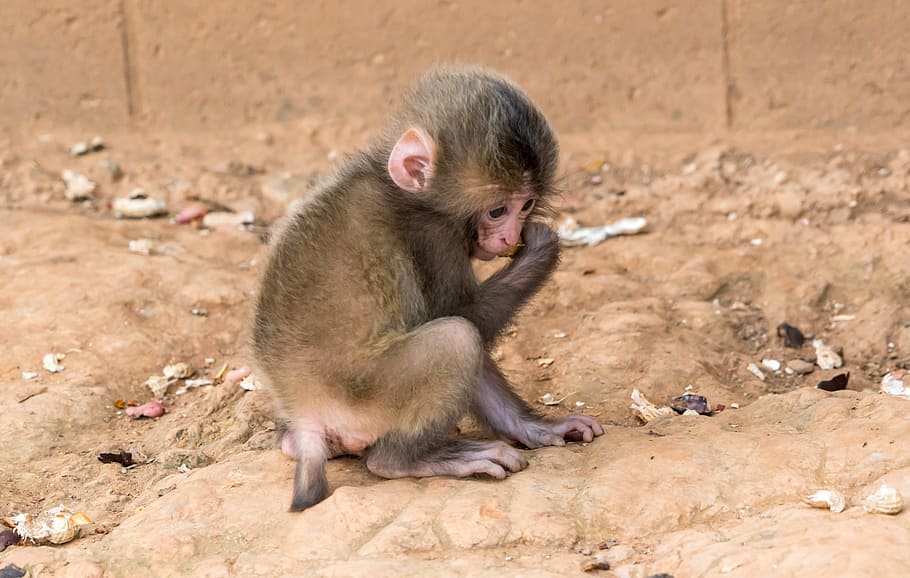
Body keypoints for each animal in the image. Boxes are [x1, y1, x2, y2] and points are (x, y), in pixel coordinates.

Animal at [253, 65, 604, 510]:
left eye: (525, 205)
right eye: (497, 210)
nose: (509, 238)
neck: (402, 191)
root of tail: (304, 409)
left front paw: (534, 428)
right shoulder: (435, 235)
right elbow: (463, 315)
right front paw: (542, 249)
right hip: (364, 401)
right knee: (457, 337)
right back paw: (404, 460)